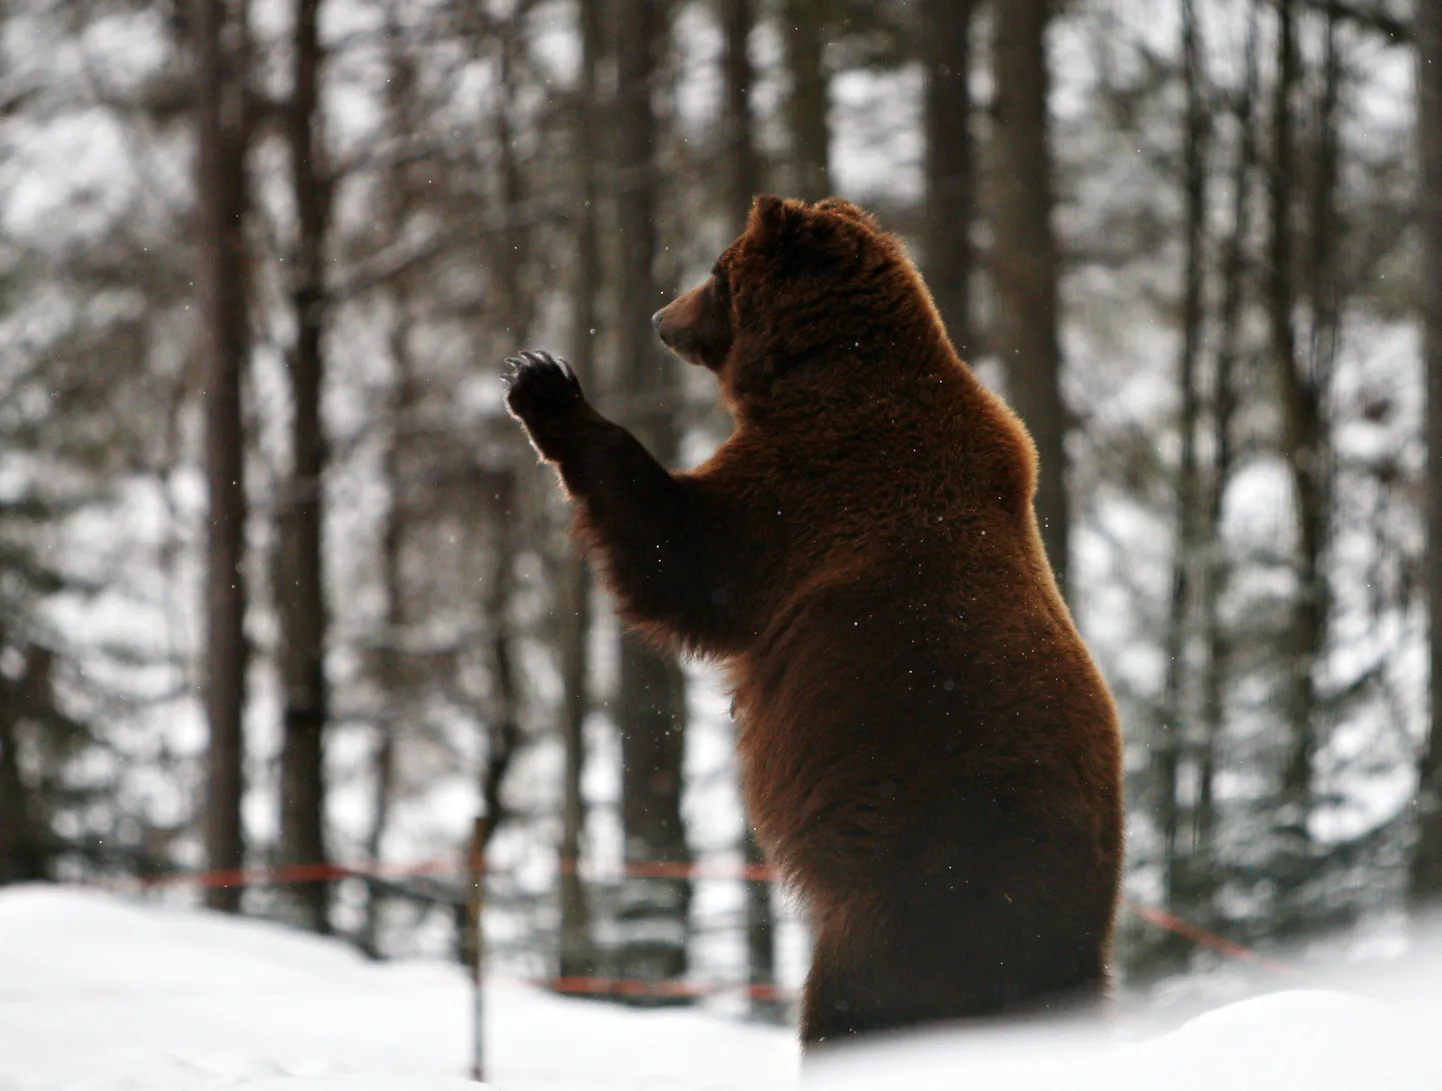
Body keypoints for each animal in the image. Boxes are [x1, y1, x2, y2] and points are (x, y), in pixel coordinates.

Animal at [507, 193, 1124, 1049]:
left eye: (716, 271)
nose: (663, 315)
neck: (818, 373)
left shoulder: (813, 493)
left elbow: (687, 557)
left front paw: (544, 385)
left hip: (918, 884)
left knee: (856, 997)